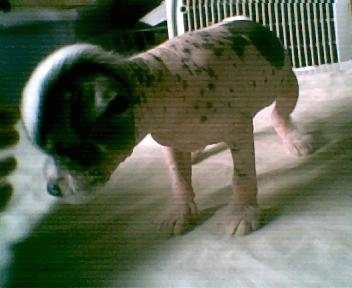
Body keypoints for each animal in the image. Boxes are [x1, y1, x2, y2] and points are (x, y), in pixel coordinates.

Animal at [21, 19, 310, 236]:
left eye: (71, 151)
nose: (51, 190)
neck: (160, 83)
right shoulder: (171, 142)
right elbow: (178, 178)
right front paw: (180, 211)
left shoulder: (238, 131)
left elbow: (242, 176)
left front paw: (242, 212)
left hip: (287, 85)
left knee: (279, 115)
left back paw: (294, 139)